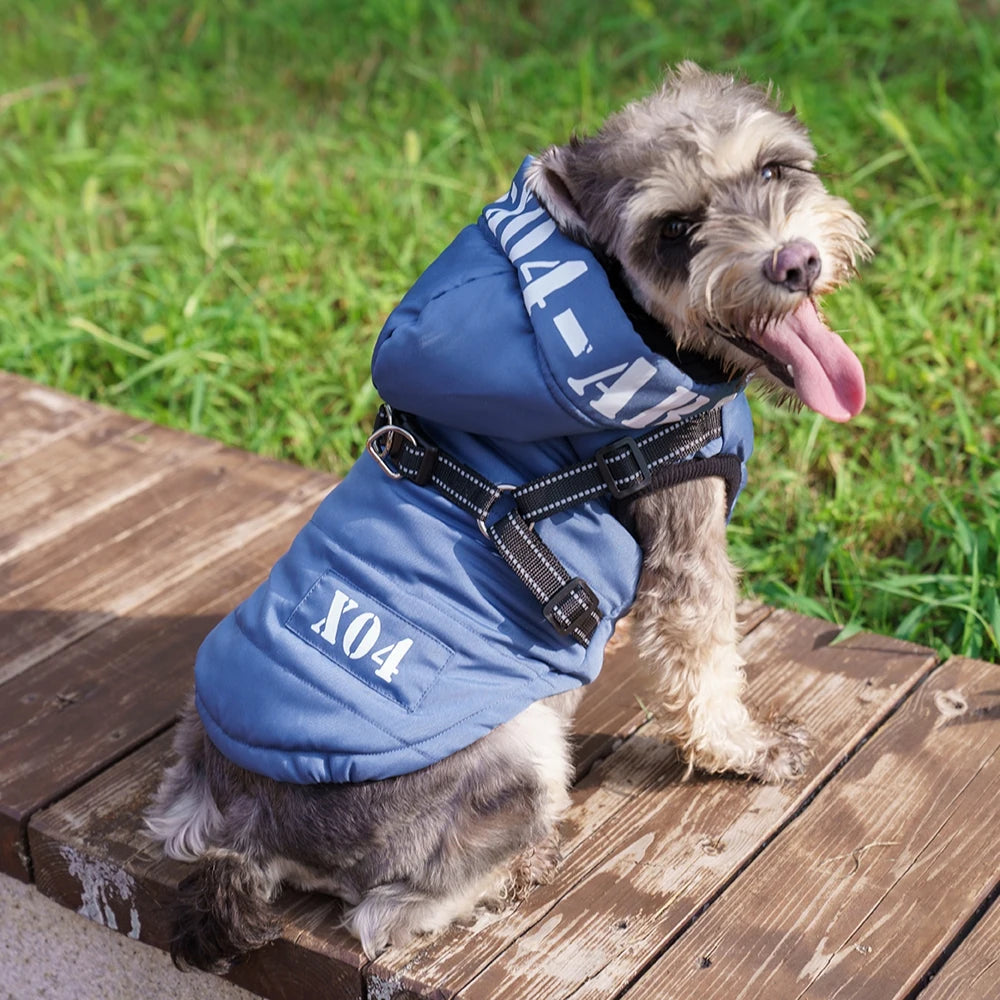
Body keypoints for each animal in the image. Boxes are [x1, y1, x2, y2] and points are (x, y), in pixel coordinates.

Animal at [145, 62, 872, 968]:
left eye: (776, 167)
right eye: (675, 228)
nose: (794, 261)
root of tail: (246, 828)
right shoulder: (682, 529)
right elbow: (706, 664)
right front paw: (747, 751)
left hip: (187, 774)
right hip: (514, 747)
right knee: (389, 911)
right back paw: (522, 865)